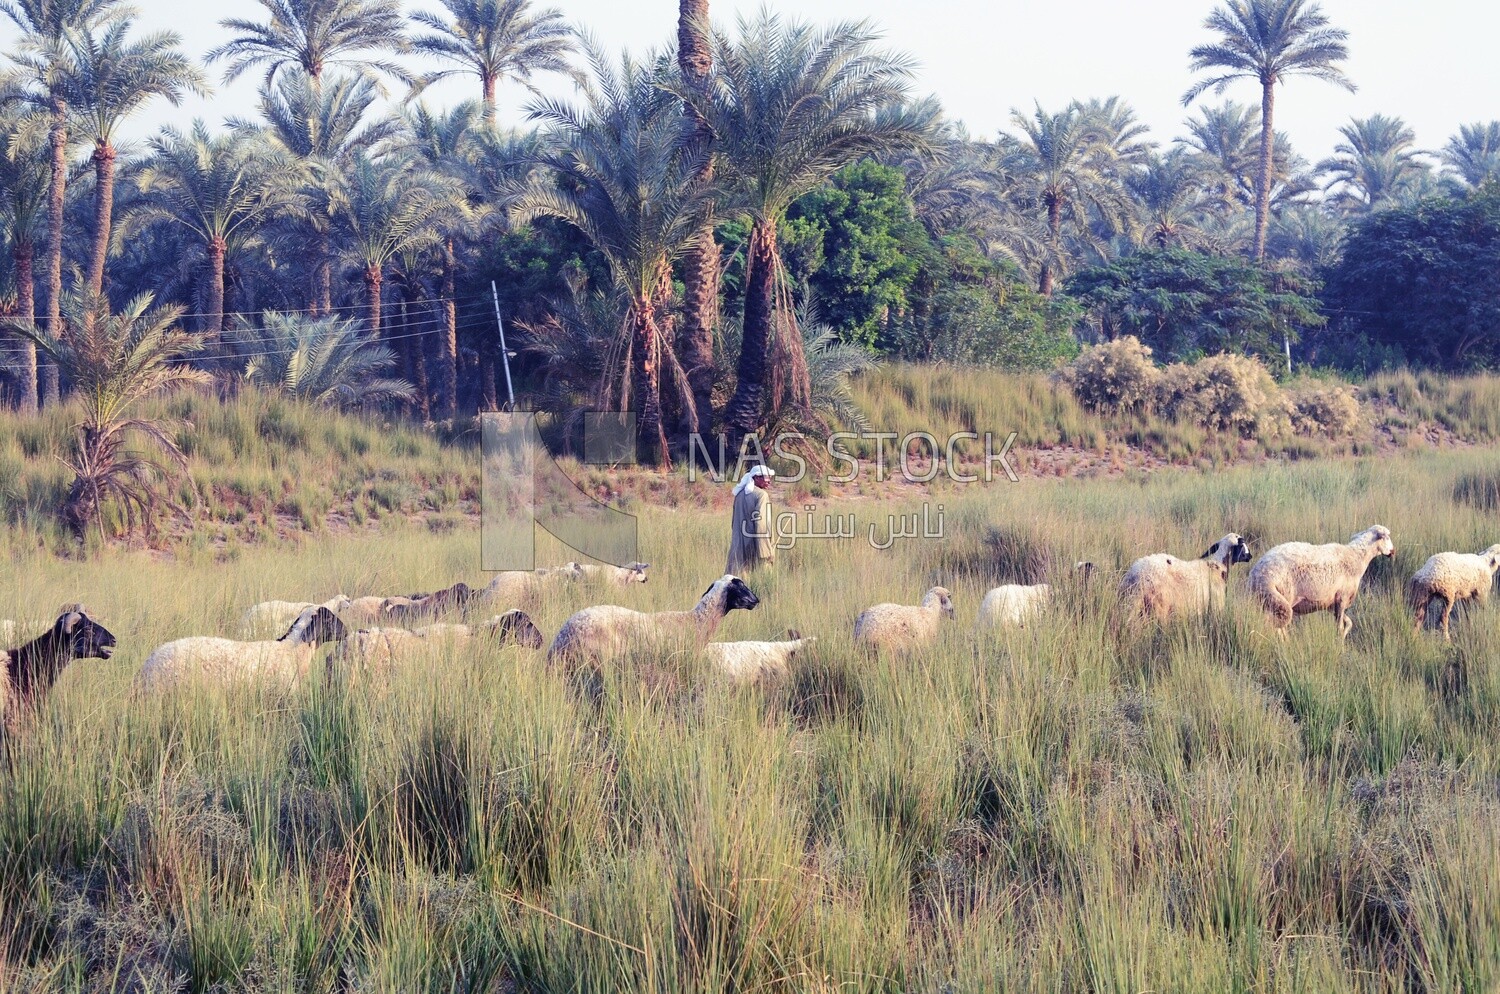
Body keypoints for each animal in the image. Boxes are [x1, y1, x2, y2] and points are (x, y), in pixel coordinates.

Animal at [1116, 536, 1254, 623]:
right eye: (1242, 544)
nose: (1250, 556)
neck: (1218, 566)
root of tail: (1134, 576)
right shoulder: (1216, 605)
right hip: (1159, 607)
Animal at [1242, 524, 1392, 641]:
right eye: (1387, 537)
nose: (1393, 551)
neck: (1357, 558)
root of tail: (1255, 574)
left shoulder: (1332, 604)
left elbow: (1349, 623)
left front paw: (1343, 637)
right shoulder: (1342, 598)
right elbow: (1340, 627)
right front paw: (1340, 644)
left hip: (1265, 602)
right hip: (1281, 598)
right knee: (1277, 626)